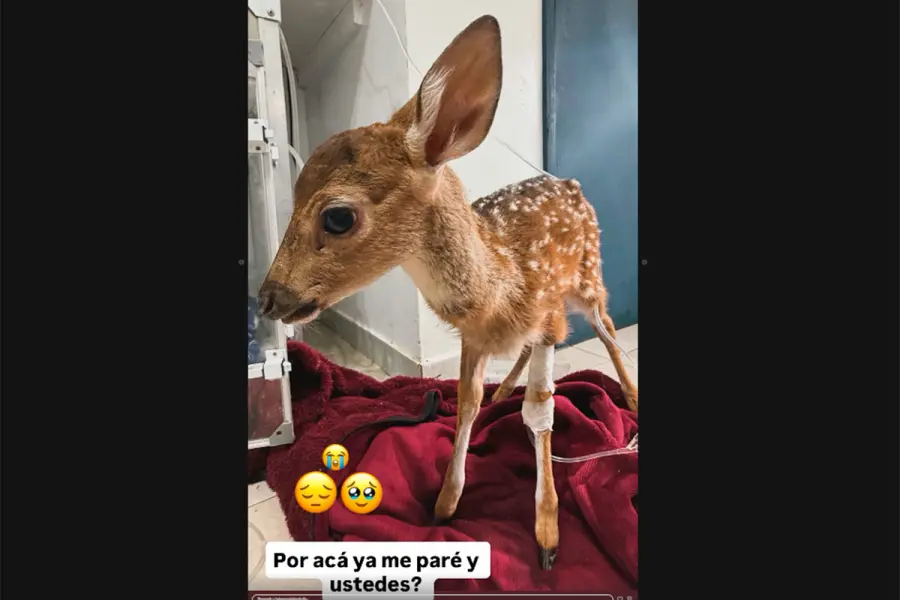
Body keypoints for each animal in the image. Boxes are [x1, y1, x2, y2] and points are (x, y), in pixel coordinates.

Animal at [257, 14, 638, 571]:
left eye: (338, 216)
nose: (267, 297)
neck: (498, 291)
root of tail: (572, 184)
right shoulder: (472, 339)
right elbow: (465, 404)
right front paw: (444, 502)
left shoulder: (548, 319)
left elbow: (540, 412)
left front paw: (547, 535)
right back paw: (505, 388)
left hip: (589, 276)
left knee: (607, 328)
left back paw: (630, 393)